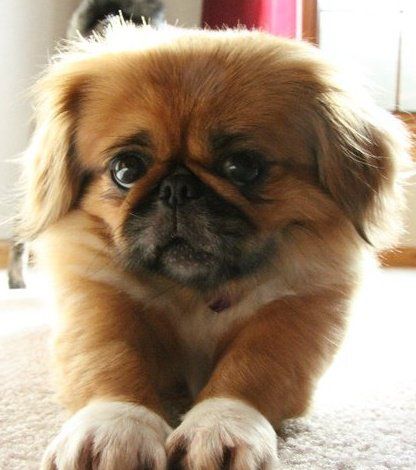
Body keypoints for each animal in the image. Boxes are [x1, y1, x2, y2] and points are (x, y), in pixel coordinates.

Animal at [19, 7, 410, 470]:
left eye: (242, 167)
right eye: (126, 169)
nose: (177, 189)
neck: (196, 292)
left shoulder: (296, 314)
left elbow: (253, 366)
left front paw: (221, 426)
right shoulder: (96, 301)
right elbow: (111, 358)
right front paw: (116, 427)